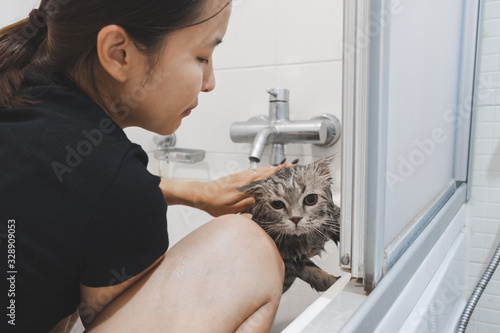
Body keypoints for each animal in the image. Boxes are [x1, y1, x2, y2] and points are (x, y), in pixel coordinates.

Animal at [238, 154, 340, 292]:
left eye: (311, 199)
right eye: (277, 204)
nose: (296, 218)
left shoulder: (332, 218)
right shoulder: (288, 258)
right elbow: (314, 273)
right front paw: (334, 283)